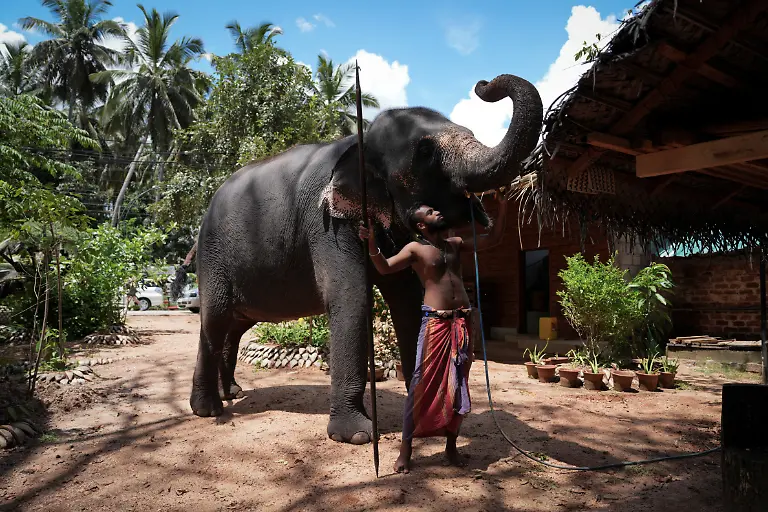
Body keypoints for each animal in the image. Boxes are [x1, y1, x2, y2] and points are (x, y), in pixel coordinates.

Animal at [175, 73, 543, 445]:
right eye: (425, 153)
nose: (483, 84)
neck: (357, 141)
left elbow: (406, 296)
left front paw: (423, 421)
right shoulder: (326, 222)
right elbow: (352, 298)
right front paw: (357, 435)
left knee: (235, 326)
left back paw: (232, 393)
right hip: (214, 256)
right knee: (216, 317)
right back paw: (209, 409)